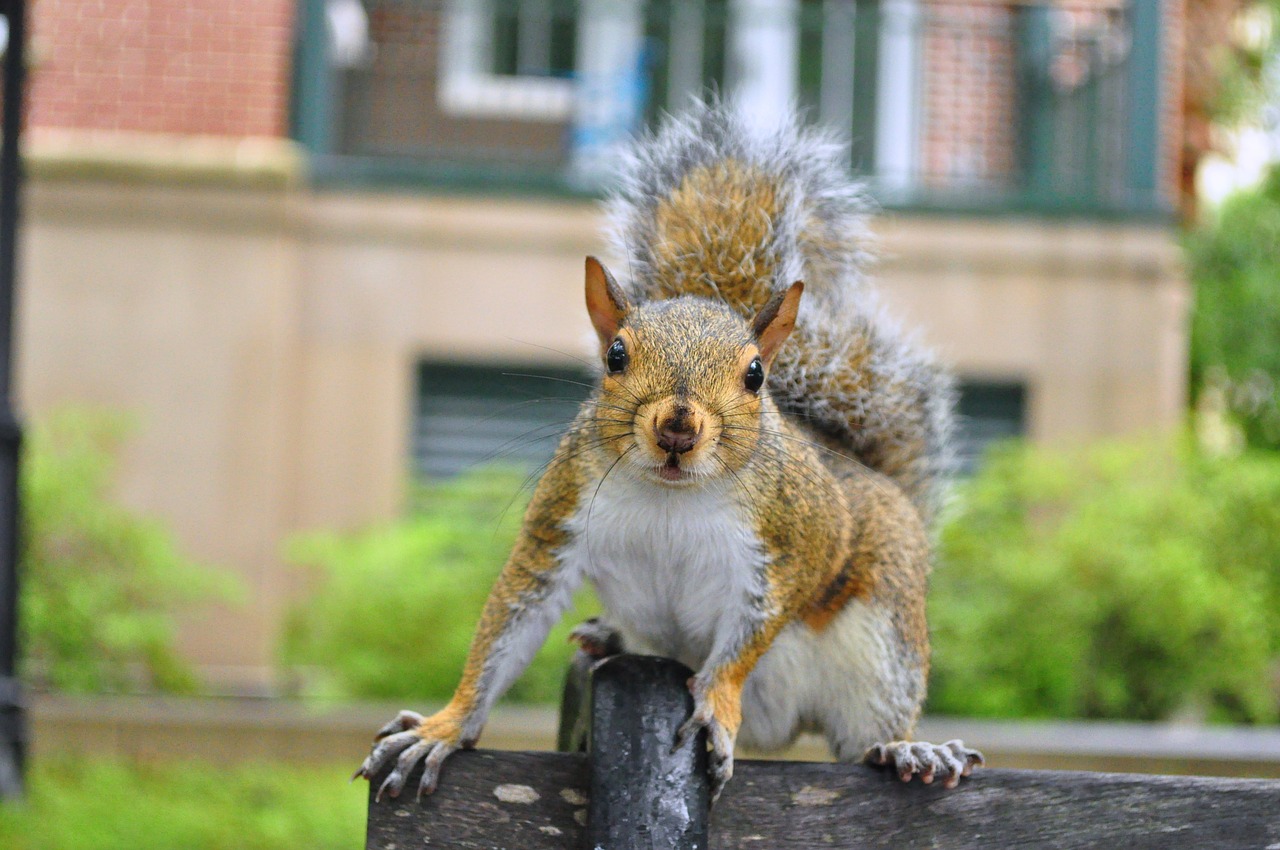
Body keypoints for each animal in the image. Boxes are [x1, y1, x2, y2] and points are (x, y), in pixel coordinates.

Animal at [355, 101, 983, 803]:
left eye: (756, 374)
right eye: (615, 356)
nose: (679, 427)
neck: (670, 496)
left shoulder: (795, 542)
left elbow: (744, 644)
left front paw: (714, 704)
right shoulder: (558, 520)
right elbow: (507, 627)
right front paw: (446, 726)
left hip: (882, 635)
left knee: (866, 730)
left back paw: (909, 747)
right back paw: (606, 637)